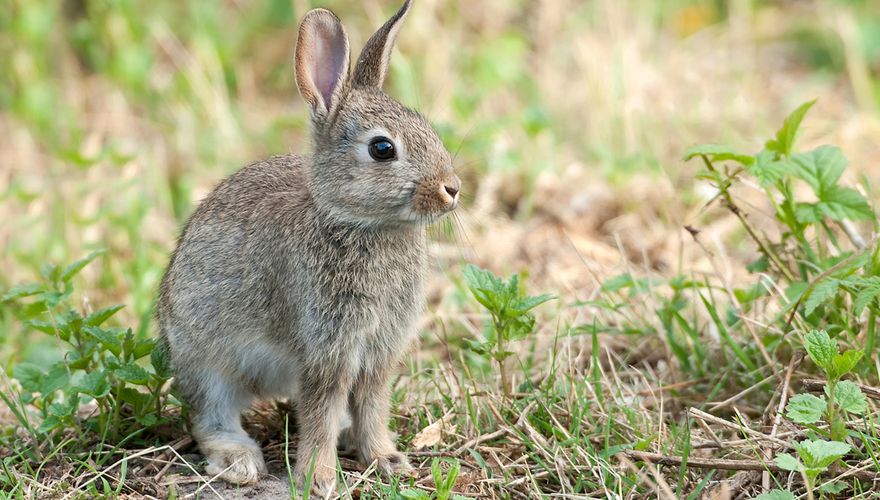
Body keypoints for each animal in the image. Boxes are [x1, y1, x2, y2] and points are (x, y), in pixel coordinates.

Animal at [157, 1, 460, 496]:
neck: (362, 223)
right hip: (204, 359)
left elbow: (372, 404)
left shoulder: (379, 349)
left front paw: (386, 459)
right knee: (208, 414)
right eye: (382, 148)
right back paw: (239, 460)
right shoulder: (326, 347)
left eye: (426, 127)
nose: (452, 189)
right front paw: (318, 478)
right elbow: (321, 408)